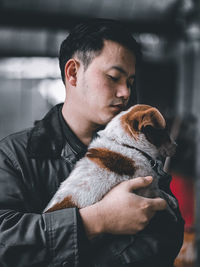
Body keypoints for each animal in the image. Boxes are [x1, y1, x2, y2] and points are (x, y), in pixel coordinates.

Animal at [43, 104, 177, 216]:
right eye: (164, 132)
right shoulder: (146, 190)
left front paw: (171, 200)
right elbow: (159, 195)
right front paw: (170, 205)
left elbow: (161, 192)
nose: (177, 146)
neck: (127, 145)